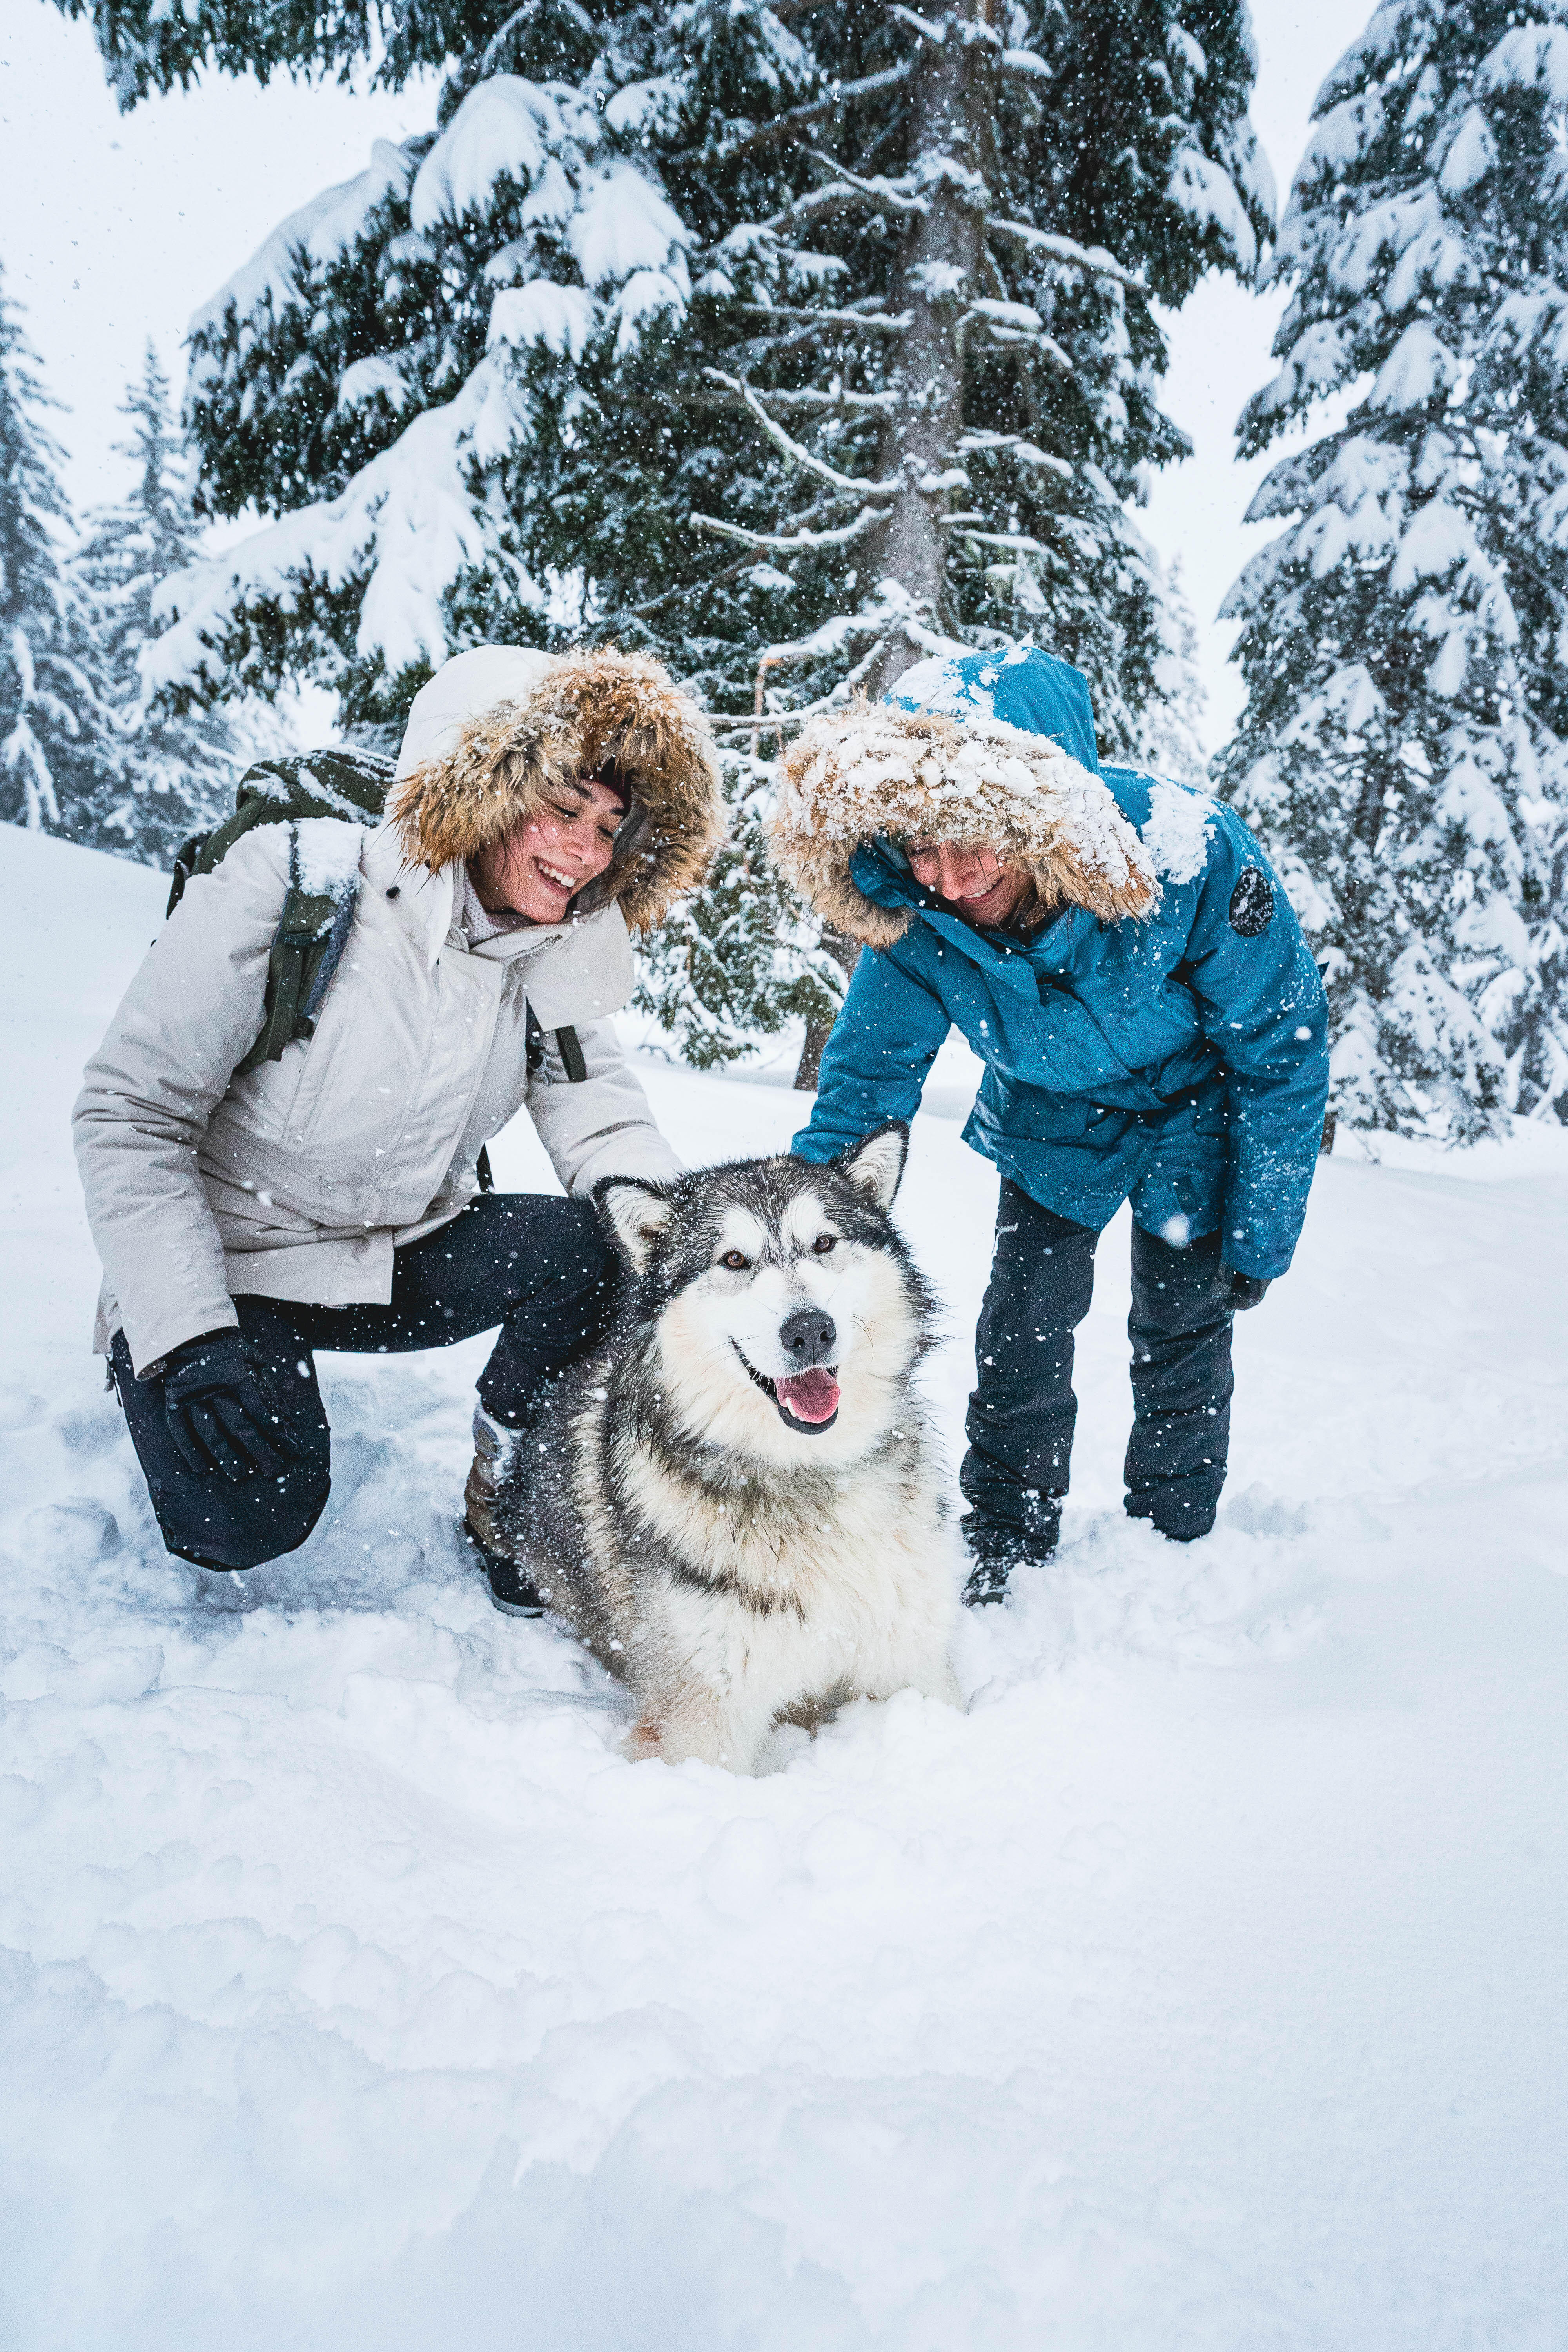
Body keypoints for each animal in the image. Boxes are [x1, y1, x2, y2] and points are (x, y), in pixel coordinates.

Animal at [491, 1120, 964, 1769]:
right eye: (734, 1260)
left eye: (824, 1243)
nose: (810, 1331)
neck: (808, 1477)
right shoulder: (704, 1724)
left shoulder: (911, 1667)